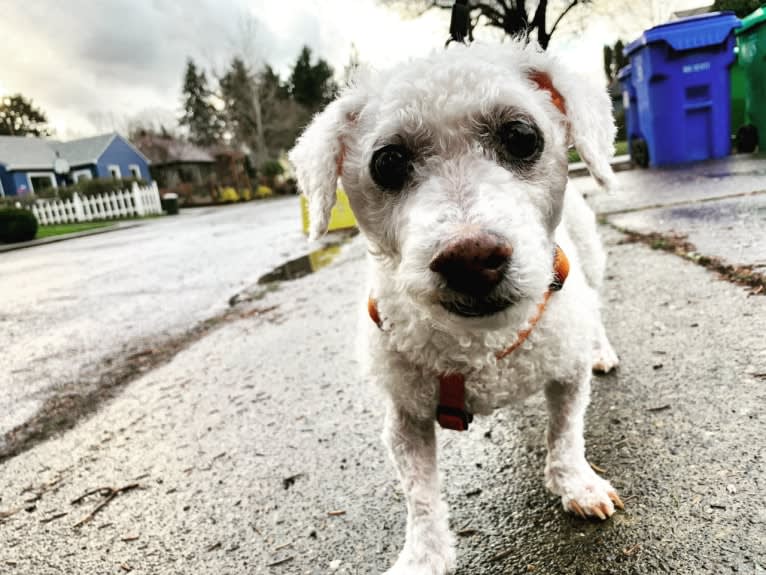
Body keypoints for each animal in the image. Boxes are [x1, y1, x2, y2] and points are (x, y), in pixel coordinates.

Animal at [292, 38, 620, 572]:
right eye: (387, 162)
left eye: (522, 137)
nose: (471, 258)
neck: (477, 345)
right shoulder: (405, 419)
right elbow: (420, 496)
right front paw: (424, 555)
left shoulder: (567, 376)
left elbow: (566, 433)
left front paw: (577, 484)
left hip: (589, 262)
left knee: (595, 306)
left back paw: (602, 350)